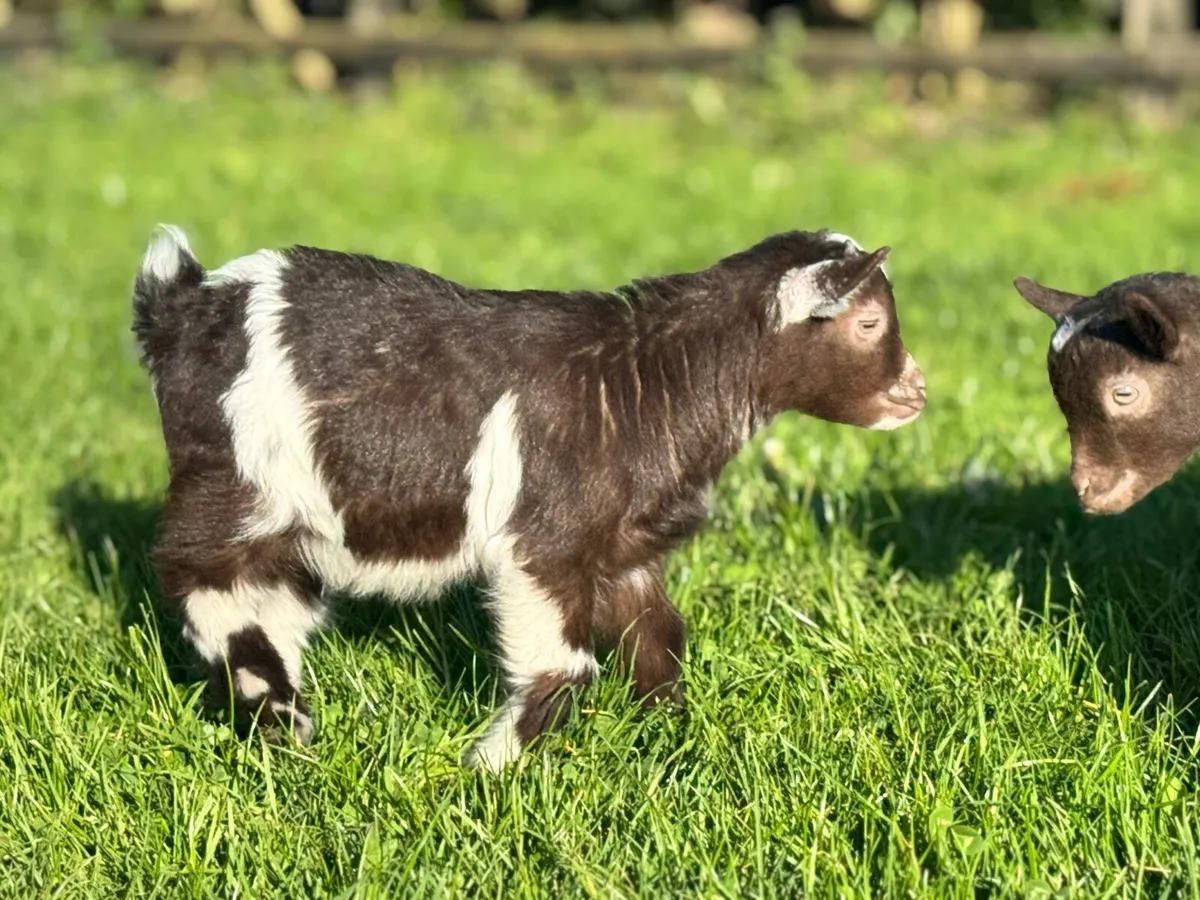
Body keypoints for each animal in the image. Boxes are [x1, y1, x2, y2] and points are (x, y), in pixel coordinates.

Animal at [132, 225, 927, 769]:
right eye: (869, 324)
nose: (917, 394)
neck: (649, 381)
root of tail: (179, 306)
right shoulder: (547, 542)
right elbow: (565, 665)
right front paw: (488, 769)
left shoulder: (624, 548)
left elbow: (659, 640)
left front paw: (668, 743)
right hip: (236, 481)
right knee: (199, 576)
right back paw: (278, 712)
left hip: (294, 513)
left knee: (275, 600)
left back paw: (284, 717)